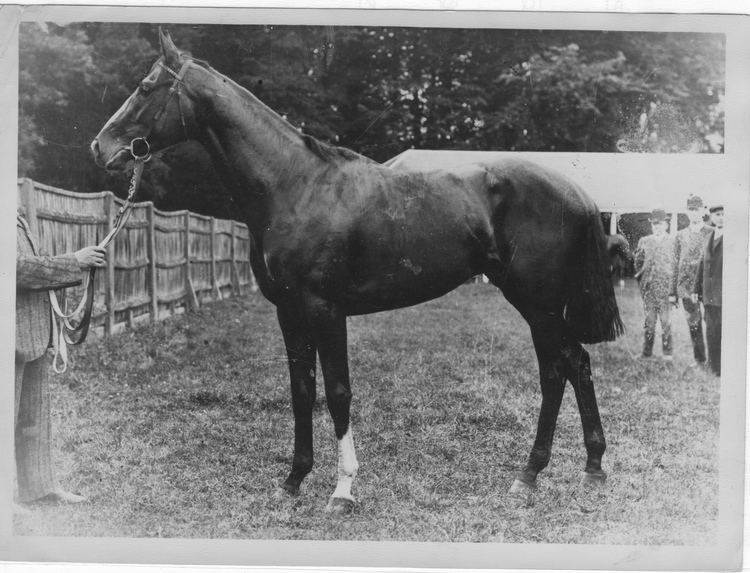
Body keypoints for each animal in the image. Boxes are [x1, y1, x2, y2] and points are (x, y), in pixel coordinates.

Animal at [91, 29, 624, 512]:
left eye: (145, 86)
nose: (100, 147)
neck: (296, 185)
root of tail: (577, 193)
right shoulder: (289, 312)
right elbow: (302, 391)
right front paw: (293, 480)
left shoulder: (325, 310)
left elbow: (338, 392)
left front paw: (343, 490)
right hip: (535, 304)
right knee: (566, 368)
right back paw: (564, 471)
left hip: (538, 303)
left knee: (565, 367)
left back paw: (555, 471)